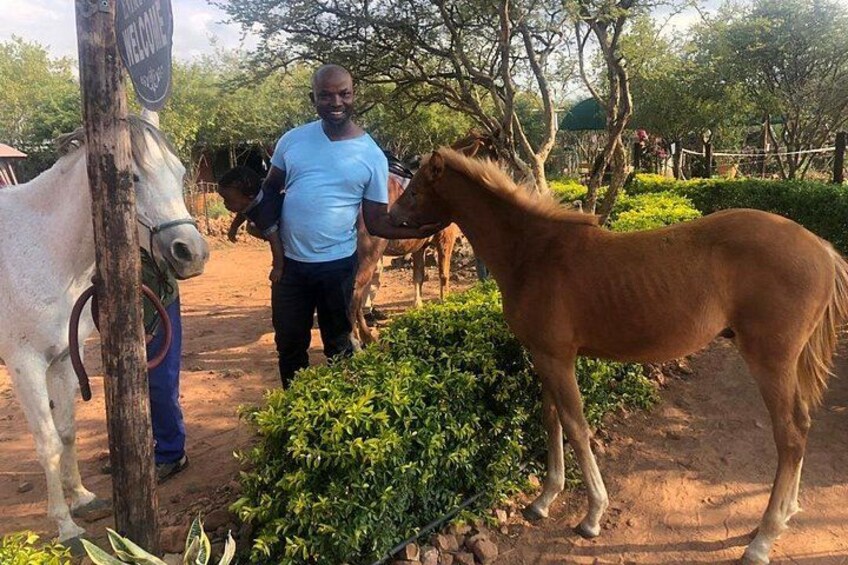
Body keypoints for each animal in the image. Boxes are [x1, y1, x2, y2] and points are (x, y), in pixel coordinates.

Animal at [0, 115, 209, 542]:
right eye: (132, 178)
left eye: (180, 173)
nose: (191, 253)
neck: (43, 250)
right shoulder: (25, 365)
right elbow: (47, 442)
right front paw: (65, 525)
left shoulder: (64, 356)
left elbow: (66, 431)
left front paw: (81, 498)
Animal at [350, 132, 499, 344]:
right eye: (491, 156)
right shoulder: (446, 237)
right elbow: (444, 274)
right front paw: (445, 302)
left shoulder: (419, 246)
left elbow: (418, 276)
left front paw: (418, 306)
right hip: (370, 253)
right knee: (354, 295)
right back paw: (361, 338)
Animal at [388, 147, 848, 565]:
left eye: (414, 189)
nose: (389, 218)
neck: (534, 252)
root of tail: (821, 248)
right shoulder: (544, 356)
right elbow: (552, 420)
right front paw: (545, 498)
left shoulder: (557, 358)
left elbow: (576, 425)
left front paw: (592, 513)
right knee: (800, 427)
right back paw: (785, 515)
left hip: (771, 361)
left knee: (791, 434)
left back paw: (764, 537)